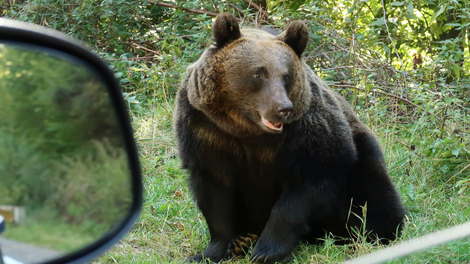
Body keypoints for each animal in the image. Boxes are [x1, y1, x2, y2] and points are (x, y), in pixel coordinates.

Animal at [174, 12, 406, 264]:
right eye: (258, 73)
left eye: (286, 75)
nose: (283, 108)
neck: (248, 129)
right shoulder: (207, 132)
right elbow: (215, 198)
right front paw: (212, 251)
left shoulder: (307, 135)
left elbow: (304, 189)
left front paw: (266, 251)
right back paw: (243, 239)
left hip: (361, 154)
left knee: (373, 191)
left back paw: (373, 233)